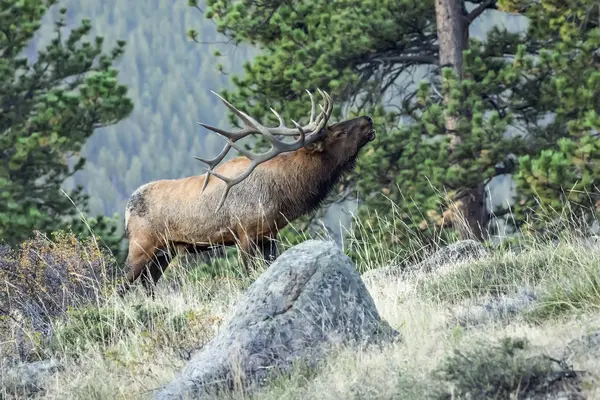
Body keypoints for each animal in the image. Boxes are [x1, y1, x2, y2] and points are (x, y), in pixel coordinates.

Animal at [117, 89, 376, 296]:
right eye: (338, 133)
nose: (368, 119)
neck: (284, 194)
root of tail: (127, 209)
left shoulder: (269, 234)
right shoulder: (245, 233)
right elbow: (249, 274)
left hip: (165, 251)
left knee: (148, 284)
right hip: (141, 244)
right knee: (120, 284)